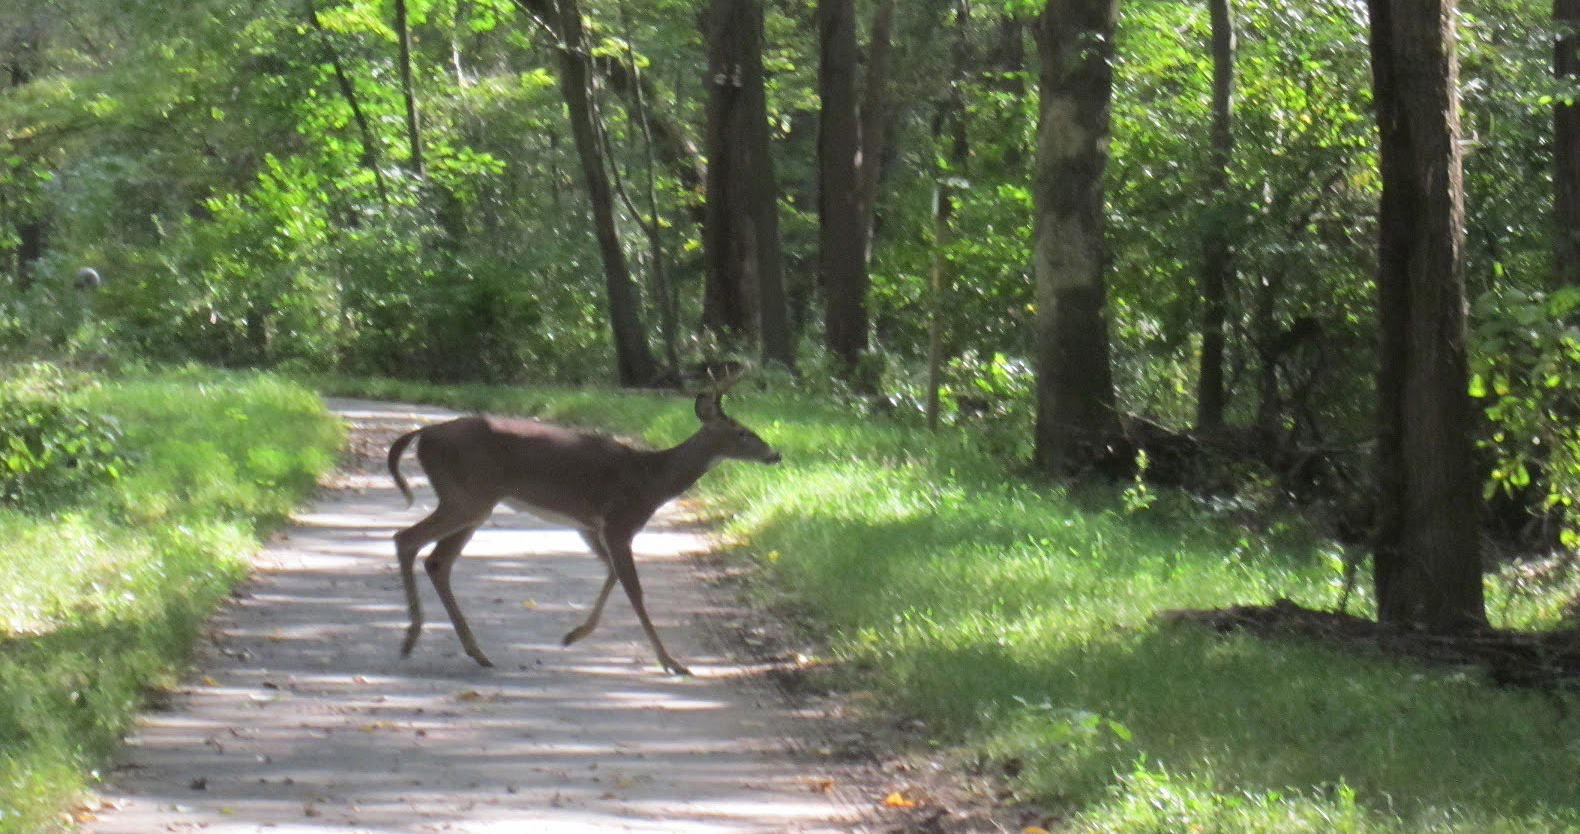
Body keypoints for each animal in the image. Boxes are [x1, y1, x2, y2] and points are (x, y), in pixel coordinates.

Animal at [385, 377, 781, 675]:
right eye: (743, 432)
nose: (775, 453)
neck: (651, 479)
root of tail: (425, 432)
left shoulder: (590, 525)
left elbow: (613, 575)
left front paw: (573, 635)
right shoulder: (621, 521)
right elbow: (634, 589)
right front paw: (671, 662)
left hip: (473, 502)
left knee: (437, 560)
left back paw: (474, 651)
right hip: (467, 496)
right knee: (406, 538)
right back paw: (411, 638)